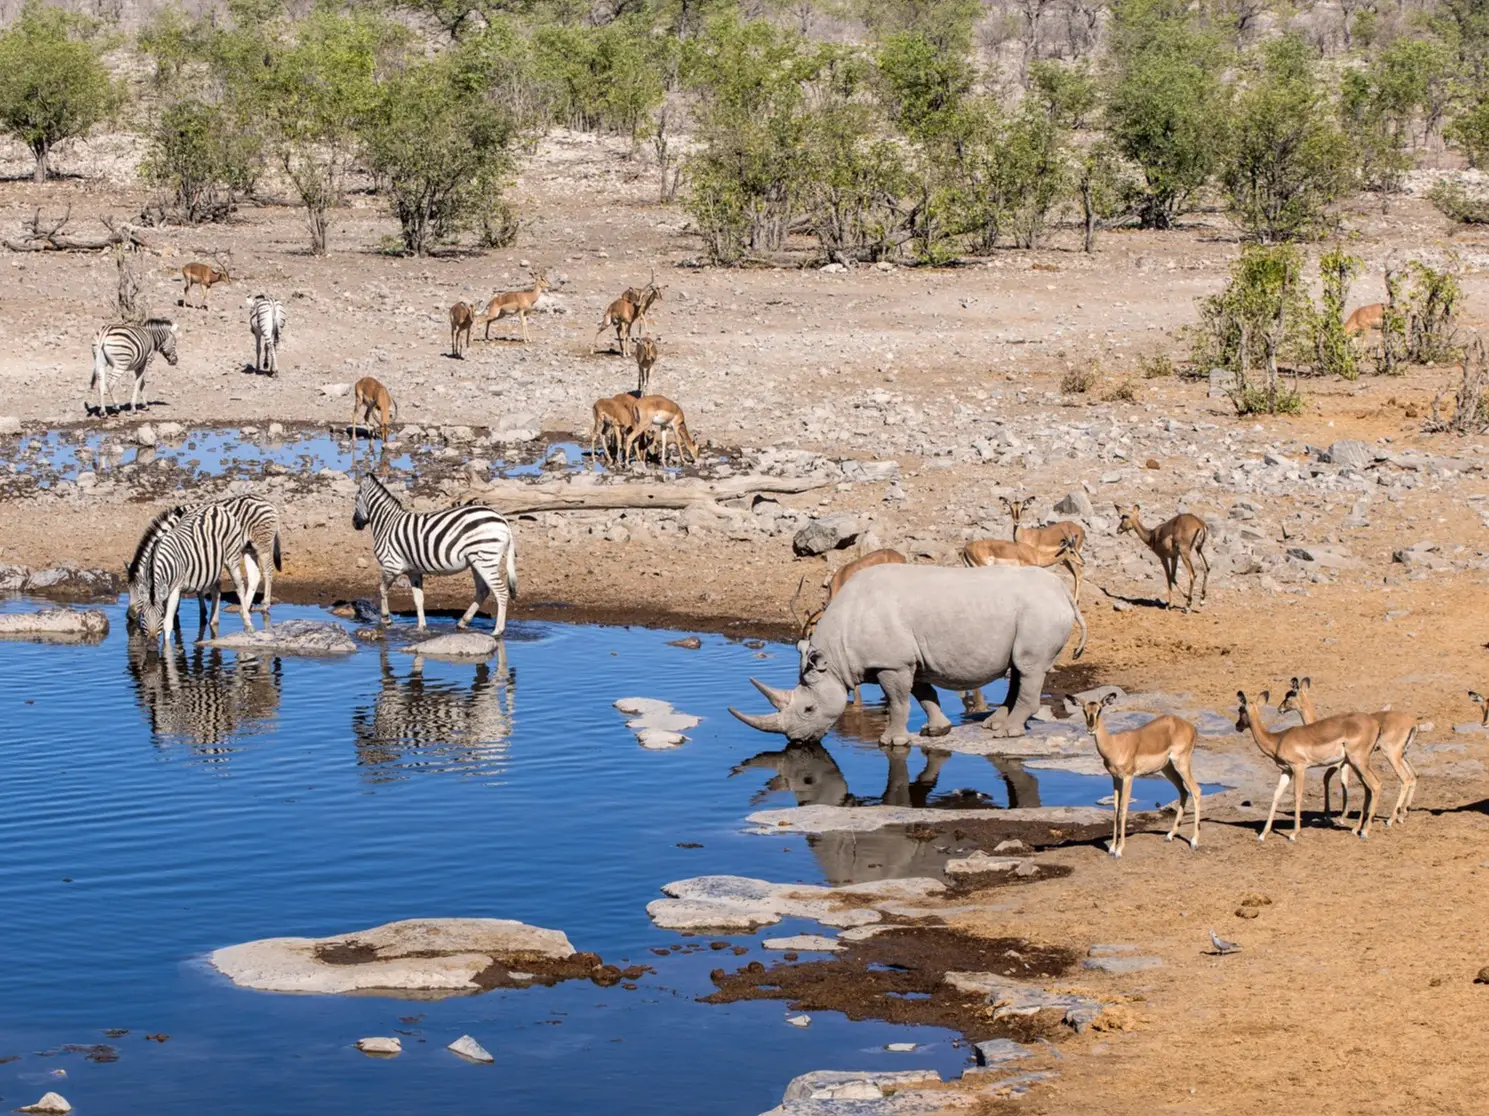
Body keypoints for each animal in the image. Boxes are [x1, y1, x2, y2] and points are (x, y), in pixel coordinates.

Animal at [136, 502, 255, 643]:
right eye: (143, 615)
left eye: (160, 614)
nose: (152, 639)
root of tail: (215, 506)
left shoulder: (175, 589)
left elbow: (168, 624)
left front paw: (167, 648)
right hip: (212, 565)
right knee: (216, 588)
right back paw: (213, 621)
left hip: (232, 558)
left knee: (239, 587)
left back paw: (248, 623)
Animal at [352, 473, 518, 633]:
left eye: (355, 498)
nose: (354, 524)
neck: (386, 523)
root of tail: (503, 520)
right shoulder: (413, 570)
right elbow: (418, 599)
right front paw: (421, 627)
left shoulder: (391, 565)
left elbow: (382, 589)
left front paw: (386, 619)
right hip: (476, 561)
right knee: (483, 591)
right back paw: (463, 622)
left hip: (484, 559)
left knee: (501, 592)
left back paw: (497, 631)